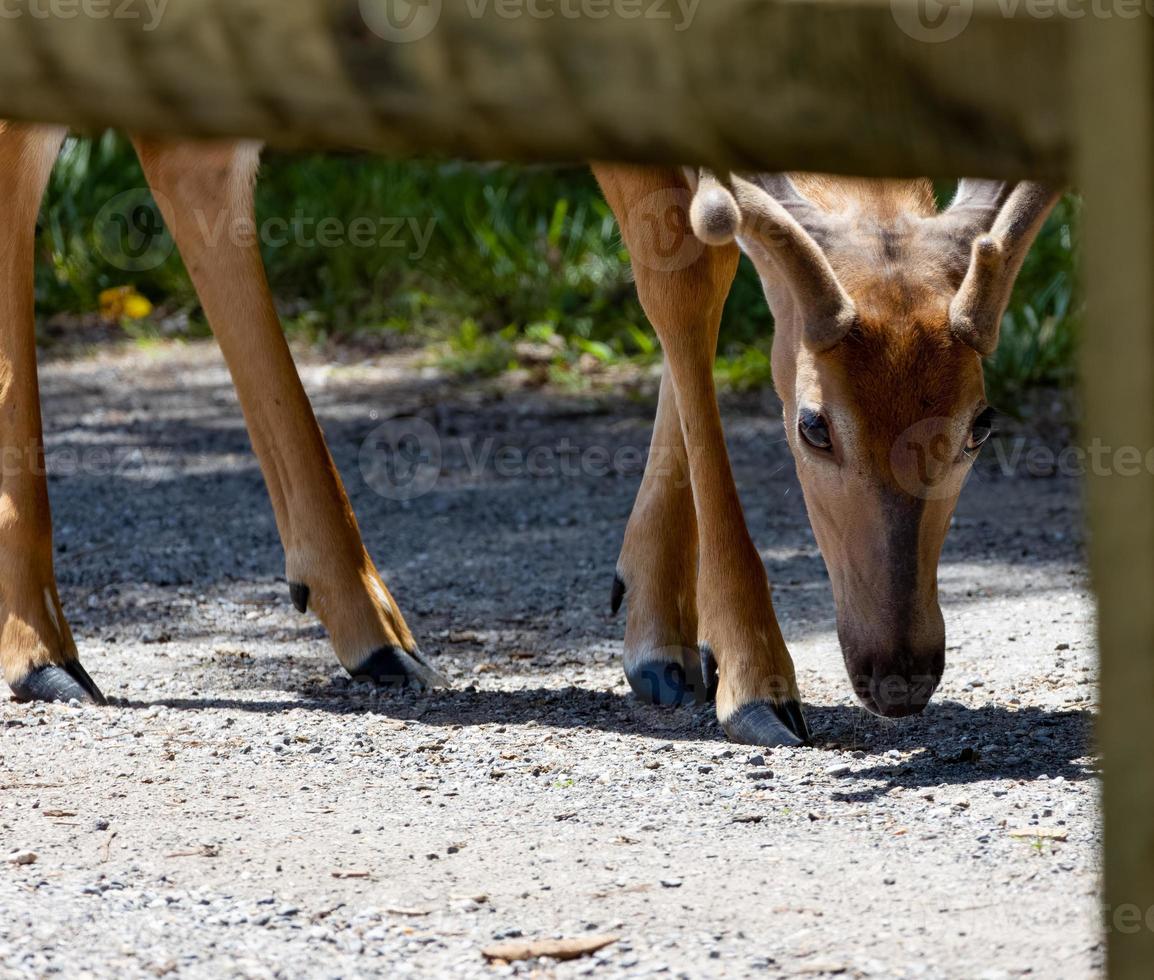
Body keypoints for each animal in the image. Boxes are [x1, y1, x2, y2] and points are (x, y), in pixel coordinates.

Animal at [0, 122, 1057, 747]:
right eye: (813, 425)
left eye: (982, 421)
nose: (901, 672)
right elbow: (679, 253)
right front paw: (756, 678)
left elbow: (719, 258)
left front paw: (660, 634)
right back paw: (42, 650)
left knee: (190, 159)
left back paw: (371, 629)